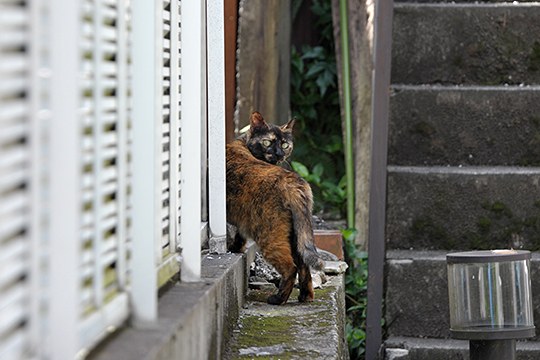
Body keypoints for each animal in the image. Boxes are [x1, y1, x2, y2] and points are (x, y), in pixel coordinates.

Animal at [226, 111, 322, 306]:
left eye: (284, 144)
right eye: (267, 142)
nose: (278, 154)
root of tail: (294, 183)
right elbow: (240, 235)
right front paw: (236, 248)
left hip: (270, 237)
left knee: (291, 267)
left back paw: (278, 299)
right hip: (296, 235)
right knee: (303, 264)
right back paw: (305, 296)